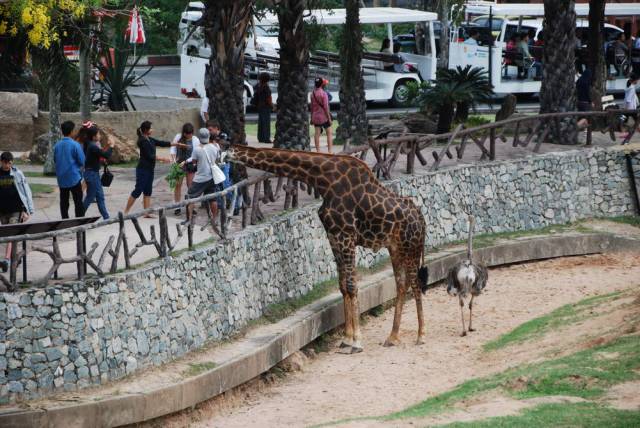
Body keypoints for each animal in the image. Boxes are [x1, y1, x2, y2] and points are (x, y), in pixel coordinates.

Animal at [228, 145, 428, 352]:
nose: (235, 188)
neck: (323, 180)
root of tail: (421, 217)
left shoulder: (346, 235)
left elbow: (352, 285)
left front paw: (357, 342)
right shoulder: (333, 236)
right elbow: (343, 286)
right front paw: (346, 339)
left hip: (411, 246)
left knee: (415, 283)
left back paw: (421, 335)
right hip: (396, 248)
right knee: (401, 284)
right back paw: (392, 337)